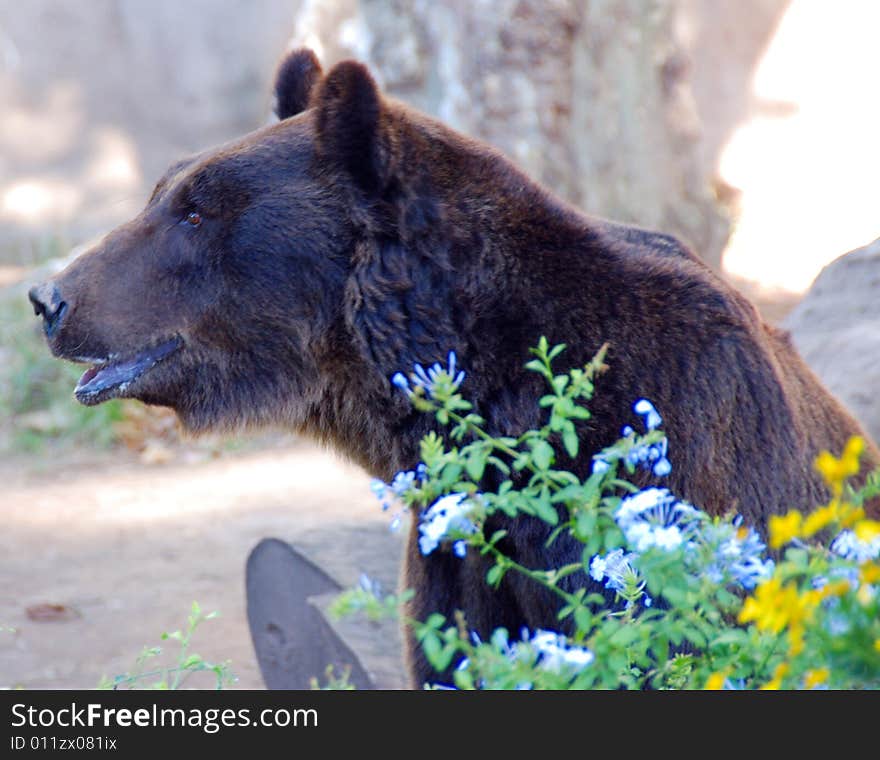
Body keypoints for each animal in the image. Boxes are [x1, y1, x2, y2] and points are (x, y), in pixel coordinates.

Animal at [27, 47, 880, 688]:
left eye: (197, 209)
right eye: (162, 192)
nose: (49, 297)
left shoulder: (663, 461)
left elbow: (657, 633)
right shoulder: (459, 542)